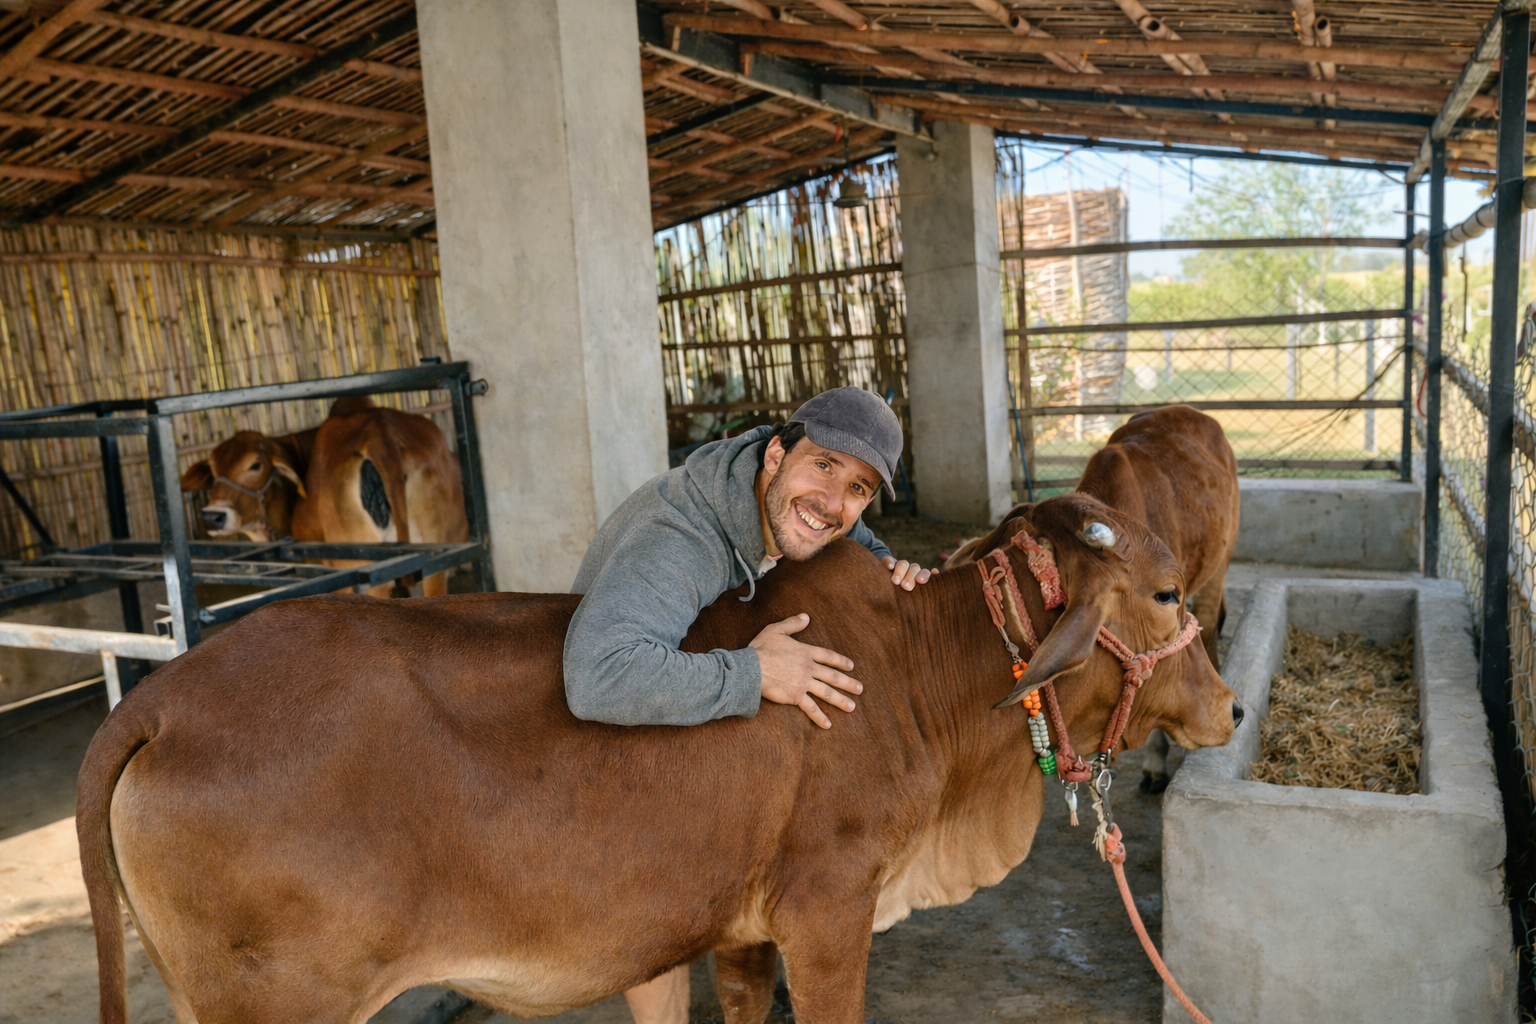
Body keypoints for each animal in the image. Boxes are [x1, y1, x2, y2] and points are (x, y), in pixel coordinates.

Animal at [76, 493, 1239, 1024]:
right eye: (1168, 592)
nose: (1229, 707)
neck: (916, 672)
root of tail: (167, 699)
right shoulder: (829, 911)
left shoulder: (738, 930)